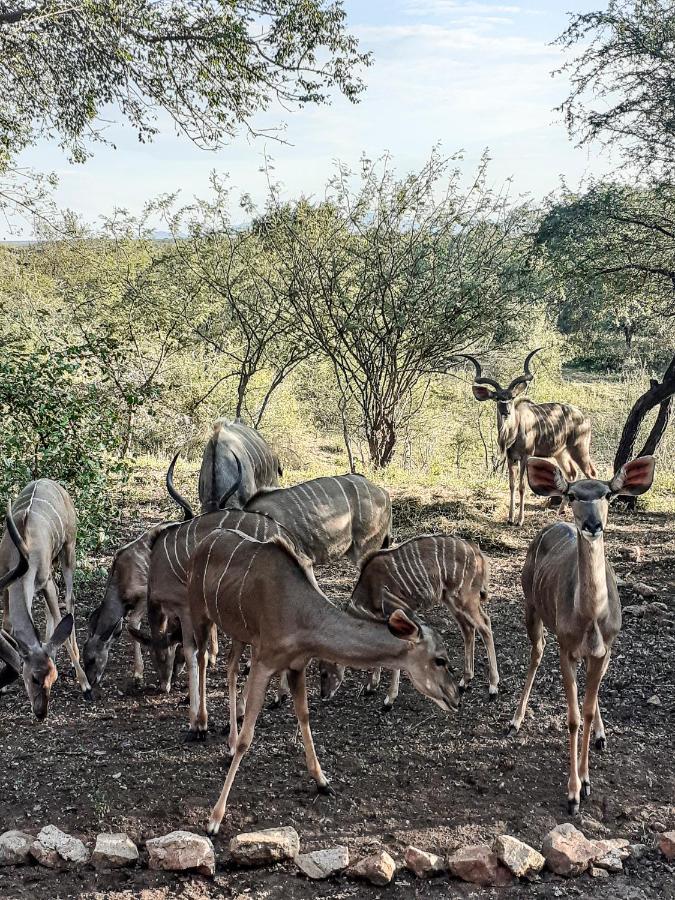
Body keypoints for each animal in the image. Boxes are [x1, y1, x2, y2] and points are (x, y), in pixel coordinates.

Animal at [0, 478, 91, 716]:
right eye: (33, 677)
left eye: (53, 677)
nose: (41, 712)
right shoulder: (6, 584)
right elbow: (7, 623)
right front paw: (3, 686)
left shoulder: (45, 580)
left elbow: (60, 618)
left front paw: (86, 685)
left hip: (68, 550)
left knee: (68, 599)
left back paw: (74, 658)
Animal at [185, 528, 460, 836]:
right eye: (440, 659)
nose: (456, 696)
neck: (301, 610)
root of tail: (206, 540)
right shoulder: (265, 662)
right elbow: (249, 737)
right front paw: (214, 819)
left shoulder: (296, 665)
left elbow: (304, 715)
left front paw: (322, 781)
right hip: (201, 614)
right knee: (201, 658)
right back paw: (200, 724)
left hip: (238, 633)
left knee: (231, 668)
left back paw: (228, 741)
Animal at [322, 532, 502, 708]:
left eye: (324, 671)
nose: (324, 694)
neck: (368, 590)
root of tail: (477, 551)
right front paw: (371, 686)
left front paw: (389, 699)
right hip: (451, 600)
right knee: (468, 629)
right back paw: (465, 681)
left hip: (466, 598)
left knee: (485, 625)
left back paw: (493, 687)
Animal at [460, 348, 596, 524]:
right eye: (497, 398)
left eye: (511, 397)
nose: (506, 411)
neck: (513, 432)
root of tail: (585, 418)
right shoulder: (511, 458)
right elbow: (511, 485)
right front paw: (510, 518)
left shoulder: (525, 456)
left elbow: (522, 486)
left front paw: (520, 520)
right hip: (560, 453)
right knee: (572, 474)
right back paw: (561, 511)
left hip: (579, 449)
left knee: (591, 473)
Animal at [512, 458, 656, 816]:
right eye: (574, 495)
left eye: (607, 493)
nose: (592, 524)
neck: (591, 618)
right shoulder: (567, 649)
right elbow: (574, 717)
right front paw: (573, 793)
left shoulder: (604, 650)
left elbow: (588, 711)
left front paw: (587, 779)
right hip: (531, 605)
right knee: (536, 652)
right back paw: (515, 720)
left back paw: (602, 734)